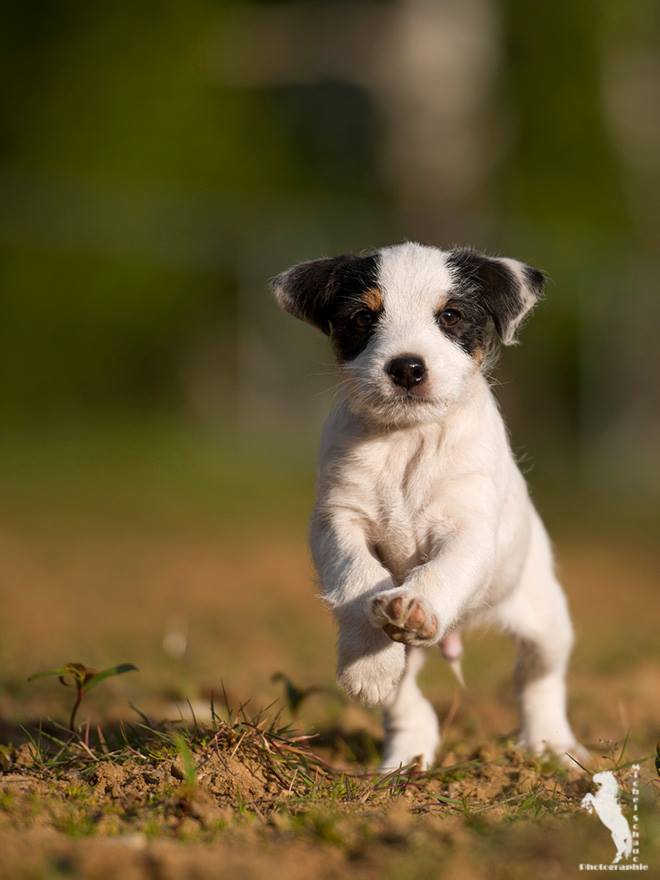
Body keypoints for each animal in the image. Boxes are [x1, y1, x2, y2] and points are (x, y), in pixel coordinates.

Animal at [270, 242, 584, 768]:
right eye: (363, 316)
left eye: (450, 315)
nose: (406, 367)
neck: (407, 441)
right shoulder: (338, 521)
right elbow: (358, 577)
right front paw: (368, 665)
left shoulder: (468, 528)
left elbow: (443, 570)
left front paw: (416, 604)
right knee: (406, 700)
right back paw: (406, 752)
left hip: (546, 623)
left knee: (537, 679)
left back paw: (551, 745)